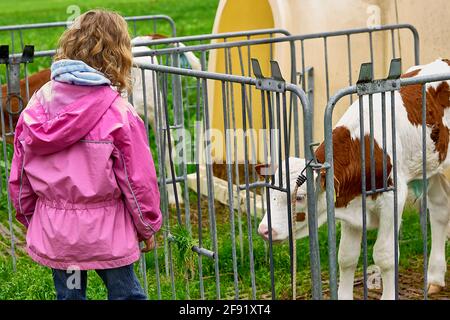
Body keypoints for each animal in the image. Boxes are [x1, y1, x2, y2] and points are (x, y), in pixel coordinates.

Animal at [256, 59, 450, 300]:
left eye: (299, 197)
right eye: (269, 192)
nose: (265, 230)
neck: (364, 145)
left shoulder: (392, 198)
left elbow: (385, 256)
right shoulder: (350, 204)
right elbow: (346, 257)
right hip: (430, 166)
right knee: (440, 209)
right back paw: (434, 278)